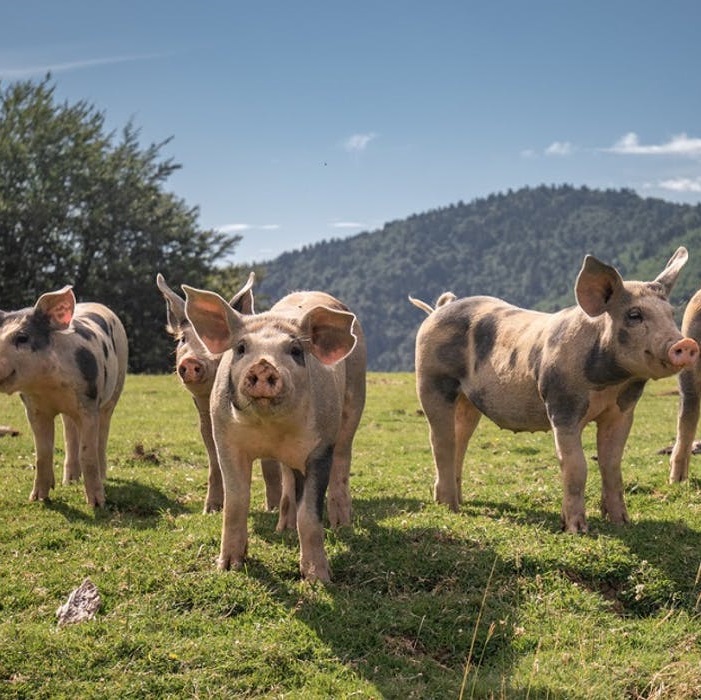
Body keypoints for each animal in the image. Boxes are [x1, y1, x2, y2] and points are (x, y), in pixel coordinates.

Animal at [0, 288, 128, 506]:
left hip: (116, 386)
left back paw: (102, 477)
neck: (49, 386)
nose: (99, 502)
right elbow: (42, 453)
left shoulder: (89, 405)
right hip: (70, 413)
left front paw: (97, 503)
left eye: (22, 337)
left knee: (103, 432)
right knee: (70, 432)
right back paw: (69, 481)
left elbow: (87, 452)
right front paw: (37, 499)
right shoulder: (34, 409)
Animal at [156, 274, 282, 516]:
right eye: (183, 339)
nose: (191, 361)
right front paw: (211, 510)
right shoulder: (207, 424)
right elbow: (215, 463)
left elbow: (270, 464)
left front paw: (273, 509)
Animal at [182, 282, 366, 584]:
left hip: (354, 400)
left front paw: (318, 578)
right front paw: (229, 566)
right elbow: (236, 503)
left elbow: (310, 515)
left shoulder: (319, 451)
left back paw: (342, 525)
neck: (270, 428)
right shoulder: (226, 441)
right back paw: (284, 528)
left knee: (342, 460)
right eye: (241, 348)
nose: (263, 365)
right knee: (289, 480)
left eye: (295, 350)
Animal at [412, 246, 696, 532]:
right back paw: (450, 507)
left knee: (460, 438)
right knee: (441, 440)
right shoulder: (561, 402)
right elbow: (576, 465)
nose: (686, 343)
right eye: (634, 315)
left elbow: (612, 463)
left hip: (469, 400)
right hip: (431, 380)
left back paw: (458, 501)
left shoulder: (622, 410)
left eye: (671, 314)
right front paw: (577, 529)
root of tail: (439, 310)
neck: (609, 383)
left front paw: (621, 523)